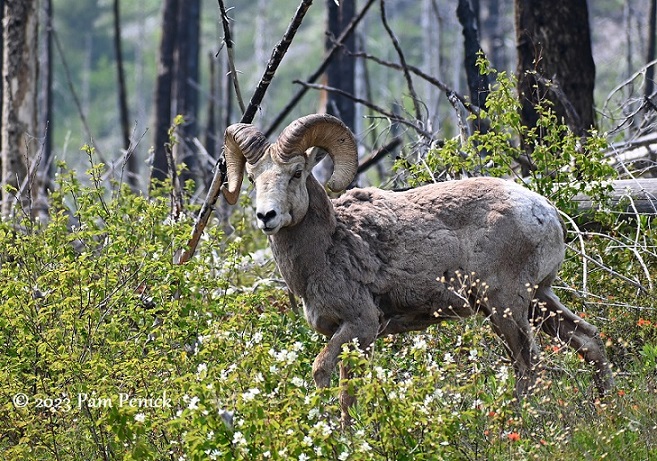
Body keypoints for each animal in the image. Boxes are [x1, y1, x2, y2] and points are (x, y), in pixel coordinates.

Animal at [222, 114, 616, 420]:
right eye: (253, 179)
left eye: (297, 173)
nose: (266, 216)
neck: (331, 245)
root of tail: (544, 212)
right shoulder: (354, 337)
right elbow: (350, 390)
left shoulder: (360, 325)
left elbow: (323, 372)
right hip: (539, 300)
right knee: (588, 339)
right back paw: (605, 411)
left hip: (505, 306)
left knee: (528, 365)